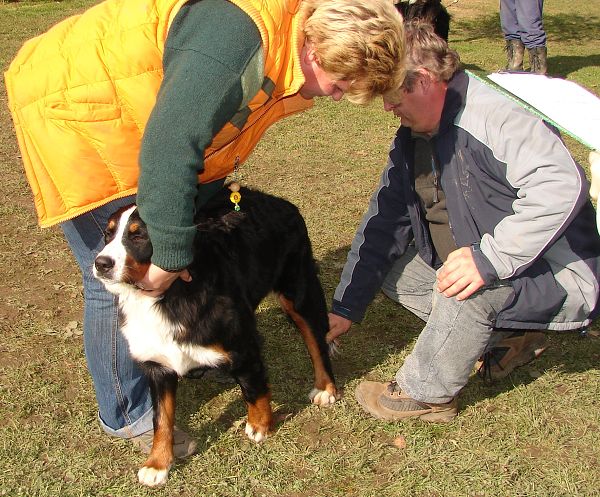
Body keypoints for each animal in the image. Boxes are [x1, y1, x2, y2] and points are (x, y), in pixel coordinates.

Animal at [94, 183, 338, 484]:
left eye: (138, 235)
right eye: (108, 234)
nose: (101, 263)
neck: (169, 297)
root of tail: (279, 201)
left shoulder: (242, 347)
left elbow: (254, 390)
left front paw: (260, 426)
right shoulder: (158, 365)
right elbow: (161, 419)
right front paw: (157, 464)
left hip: (299, 293)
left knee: (316, 340)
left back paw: (325, 387)